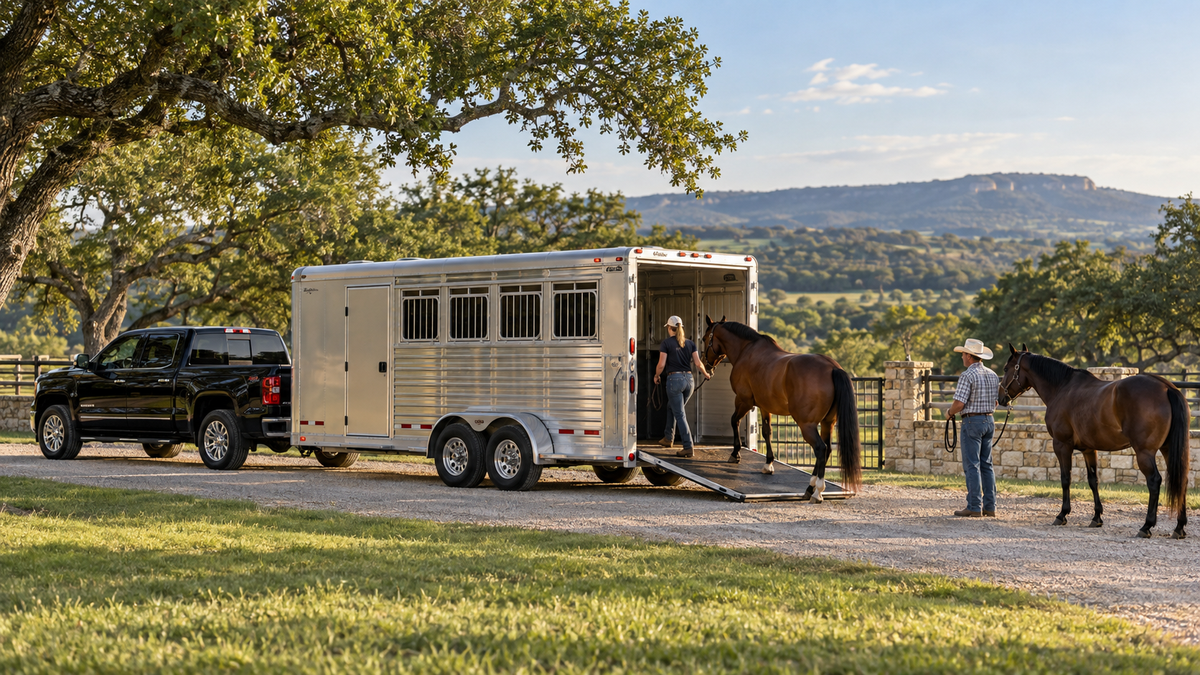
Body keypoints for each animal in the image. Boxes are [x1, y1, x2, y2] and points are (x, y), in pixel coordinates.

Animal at [699, 315, 862, 502]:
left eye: (704, 338)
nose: (705, 365)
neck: (747, 350)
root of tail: (832, 367)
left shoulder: (743, 400)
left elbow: (734, 421)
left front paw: (735, 454)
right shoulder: (765, 406)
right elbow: (767, 432)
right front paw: (768, 464)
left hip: (807, 425)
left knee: (820, 449)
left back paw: (816, 491)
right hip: (828, 423)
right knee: (827, 449)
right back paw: (811, 489)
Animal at [997, 344, 1190, 539]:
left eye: (1006, 369)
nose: (1000, 398)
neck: (1062, 388)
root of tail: (1167, 388)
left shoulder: (1062, 445)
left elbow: (1065, 478)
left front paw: (1062, 514)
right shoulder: (1089, 449)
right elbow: (1093, 480)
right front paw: (1096, 517)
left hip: (1144, 452)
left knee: (1154, 481)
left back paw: (1146, 526)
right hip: (1168, 449)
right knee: (1182, 480)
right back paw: (1179, 527)